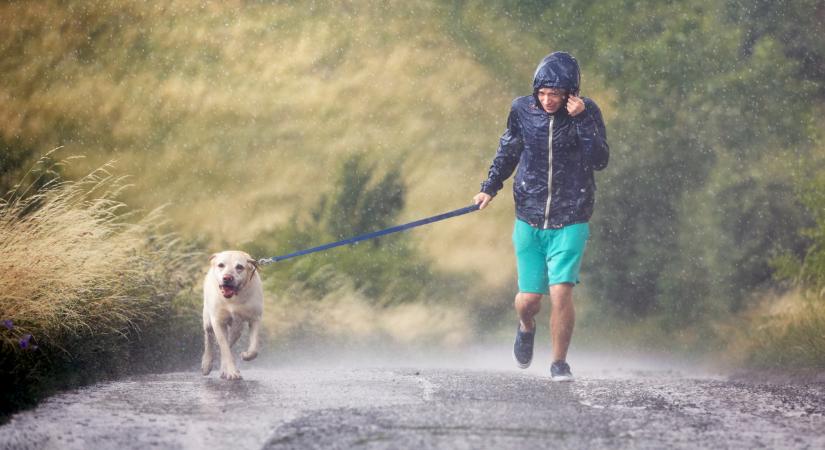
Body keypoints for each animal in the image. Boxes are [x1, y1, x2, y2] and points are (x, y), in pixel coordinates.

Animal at [201, 250, 262, 380]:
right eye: (221, 265)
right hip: (208, 320)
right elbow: (224, 348)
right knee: (209, 338)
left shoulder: (255, 318)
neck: (233, 298)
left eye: (239, 267)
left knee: (231, 339)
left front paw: (246, 355)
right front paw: (232, 371)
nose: (227, 278)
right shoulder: (217, 321)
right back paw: (206, 364)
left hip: (237, 329)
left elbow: (254, 348)